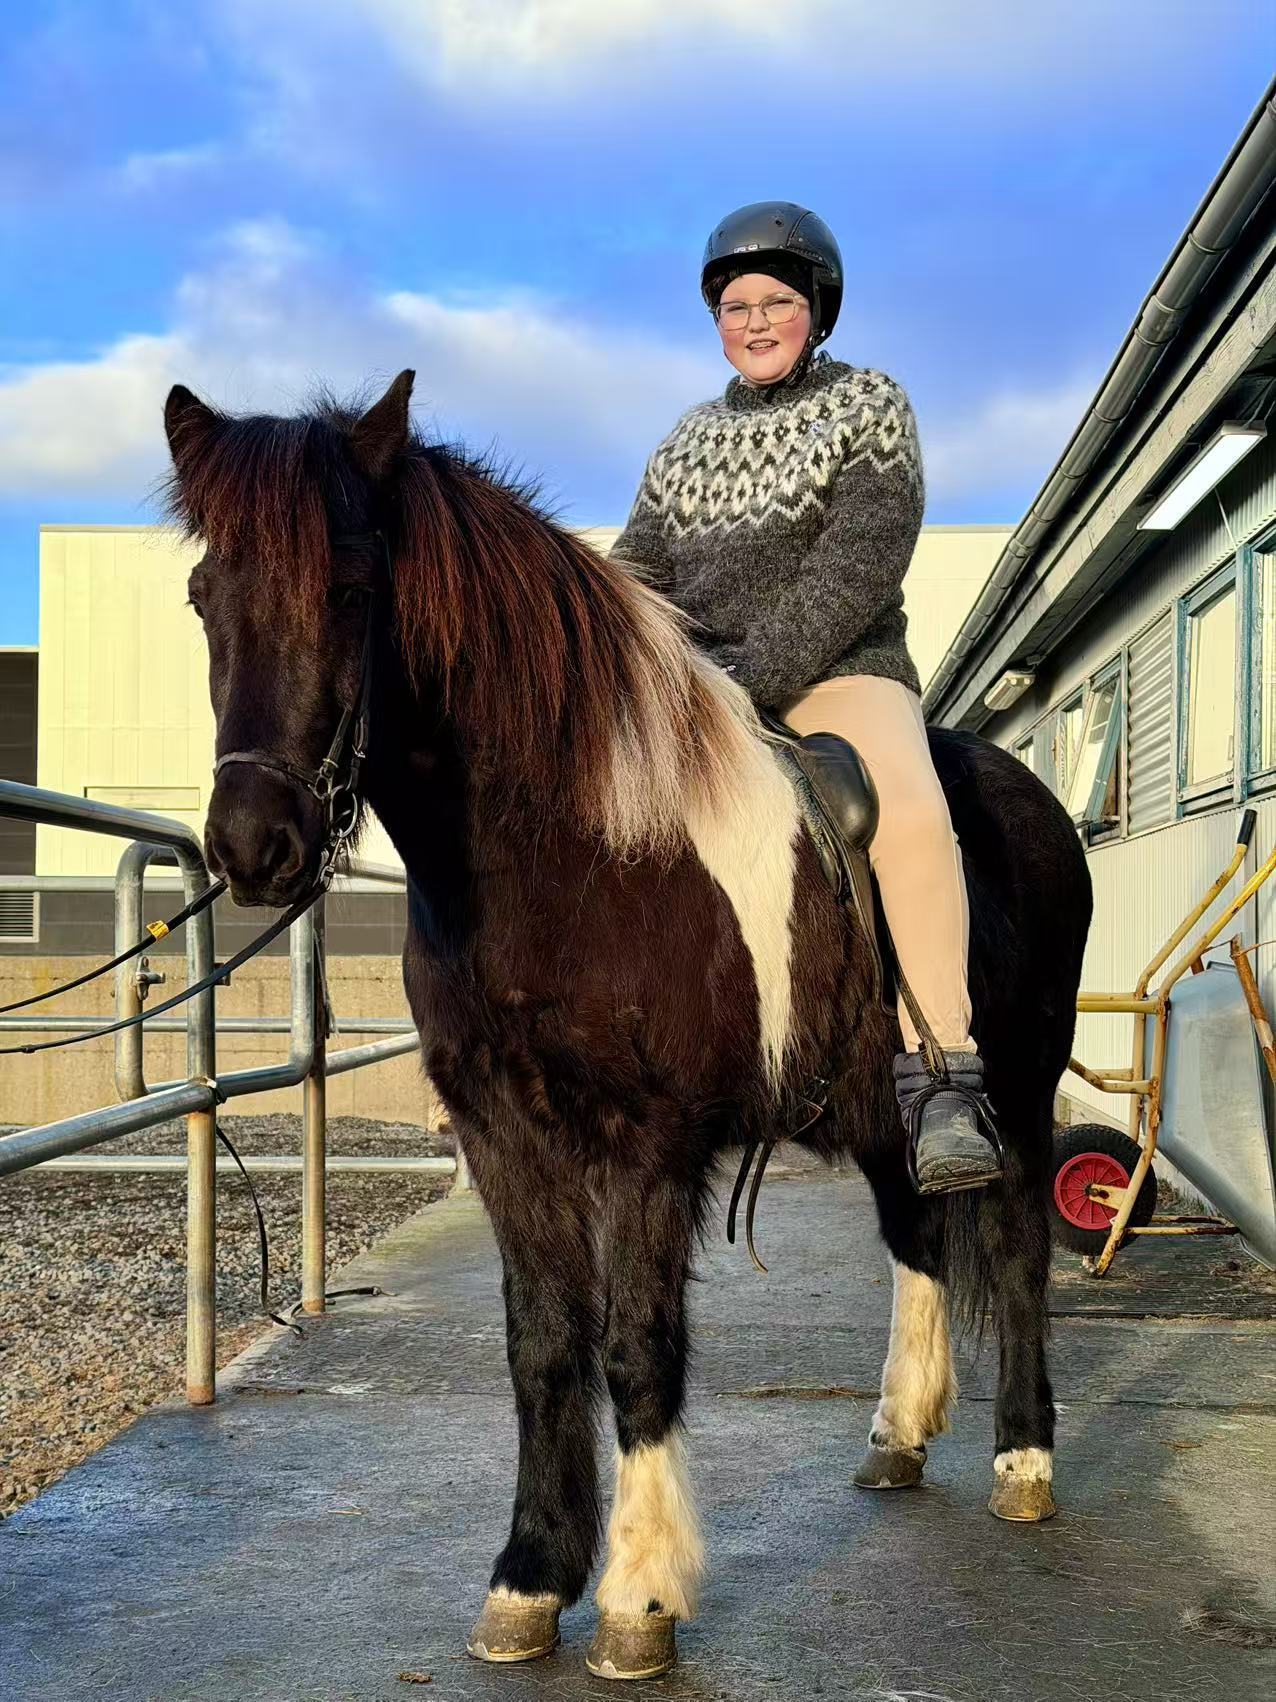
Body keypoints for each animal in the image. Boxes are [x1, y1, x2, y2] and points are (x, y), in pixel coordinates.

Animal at [163, 369, 1092, 1681]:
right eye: (207, 597)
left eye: (349, 589)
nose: (254, 845)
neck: (580, 847)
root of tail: (1038, 802)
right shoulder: (506, 1137)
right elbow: (543, 1344)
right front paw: (528, 1579)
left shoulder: (649, 1145)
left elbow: (637, 1348)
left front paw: (637, 1598)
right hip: (884, 1104)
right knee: (916, 1236)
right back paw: (899, 1434)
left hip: (1012, 1080)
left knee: (1013, 1252)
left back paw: (1021, 1458)